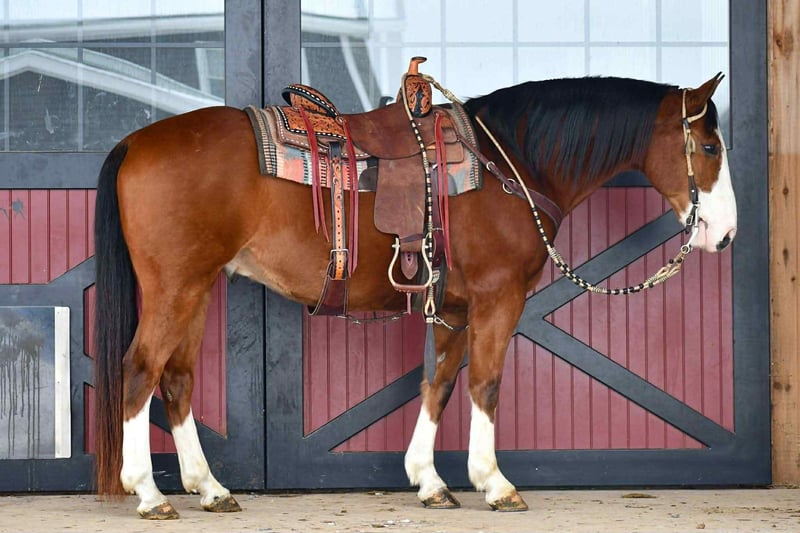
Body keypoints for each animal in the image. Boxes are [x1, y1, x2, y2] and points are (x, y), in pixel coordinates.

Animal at [93, 72, 736, 519]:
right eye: (708, 149)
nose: (725, 234)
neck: (510, 164)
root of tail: (135, 141)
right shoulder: (499, 298)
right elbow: (485, 384)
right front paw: (494, 482)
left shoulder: (453, 308)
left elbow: (441, 383)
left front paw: (429, 480)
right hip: (175, 287)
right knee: (139, 370)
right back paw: (148, 493)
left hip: (198, 287)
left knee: (176, 379)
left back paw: (209, 488)